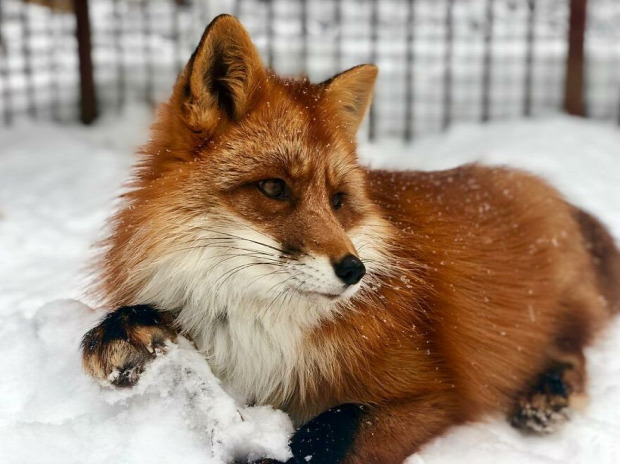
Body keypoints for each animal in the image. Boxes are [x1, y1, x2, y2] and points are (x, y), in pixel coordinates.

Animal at [82, 14, 620, 464]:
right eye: (274, 188)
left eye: (338, 200)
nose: (354, 271)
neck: (251, 321)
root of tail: (539, 185)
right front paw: (126, 331)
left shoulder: (432, 392)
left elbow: (331, 430)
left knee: (573, 348)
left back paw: (549, 393)